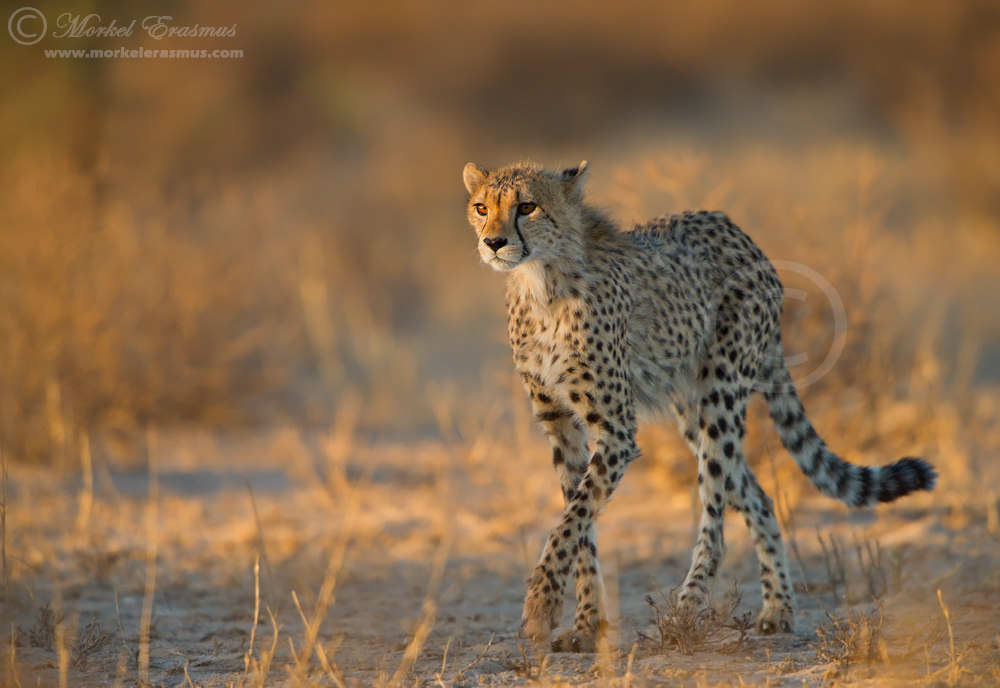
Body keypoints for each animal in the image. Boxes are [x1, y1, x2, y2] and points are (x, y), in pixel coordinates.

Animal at [462, 160, 937, 653]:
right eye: (481, 208)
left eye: (527, 207)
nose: (493, 242)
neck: (541, 283)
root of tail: (737, 231)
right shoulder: (560, 423)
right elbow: (580, 525)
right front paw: (586, 624)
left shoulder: (615, 430)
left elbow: (571, 520)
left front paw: (541, 607)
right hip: (693, 409)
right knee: (757, 496)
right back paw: (779, 609)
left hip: (721, 396)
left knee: (717, 518)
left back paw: (685, 613)